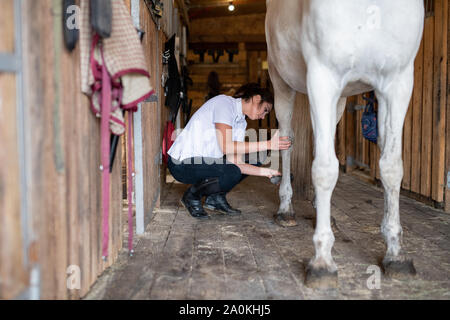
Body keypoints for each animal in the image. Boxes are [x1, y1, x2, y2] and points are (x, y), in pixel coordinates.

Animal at [268, 0, 426, 286]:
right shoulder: (322, 76)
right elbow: (324, 170)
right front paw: (322, 261)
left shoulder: (397, 82)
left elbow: (391, 167)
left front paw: (395, 253)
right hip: (282, 83)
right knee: (287, 141)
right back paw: (286, 209)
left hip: (339, 99)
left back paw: (319, 209)